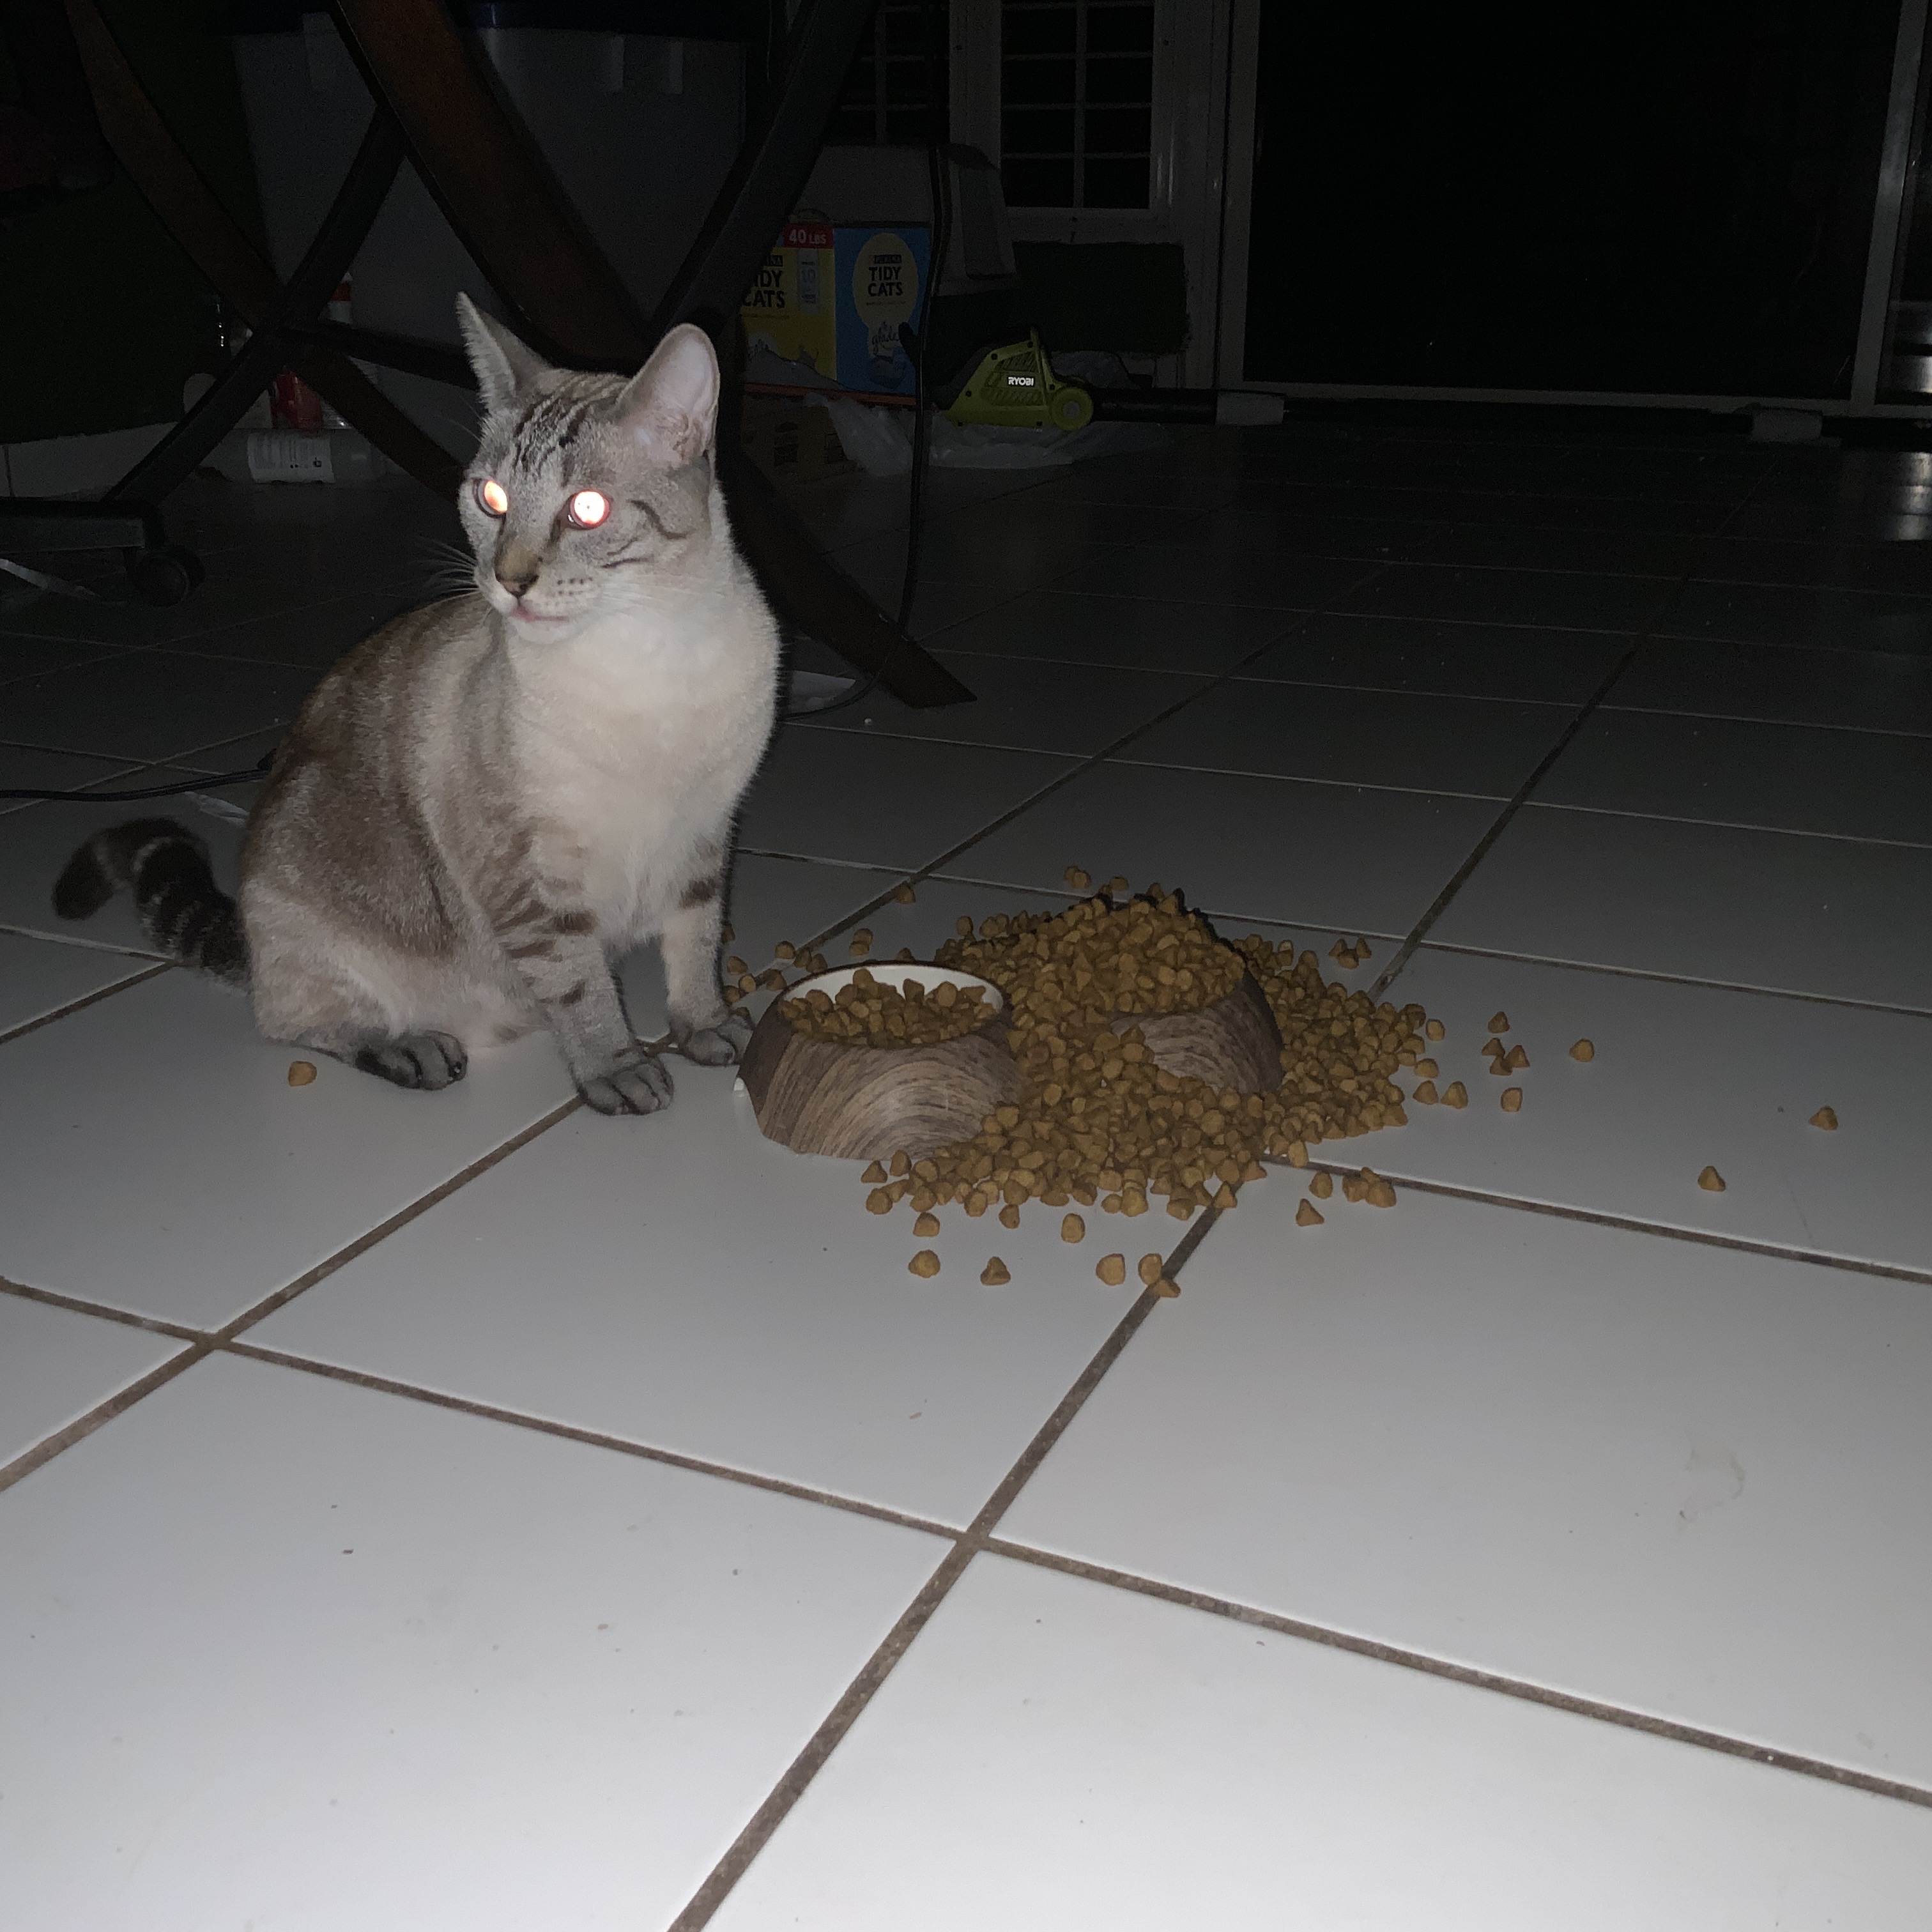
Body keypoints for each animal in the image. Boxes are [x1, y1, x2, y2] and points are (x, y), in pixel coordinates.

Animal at [60, 299, 784, 1120]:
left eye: (588, 510)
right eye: (491, 499)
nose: (509, 580)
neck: (653, 653)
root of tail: (245, 923)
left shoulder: (705, 832)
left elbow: (695, 946)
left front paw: (709, 1031)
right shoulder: (532, 882)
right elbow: (582, 990)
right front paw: (618, 1071)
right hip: (317, 937)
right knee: (297, 1023)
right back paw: (414, 1050)